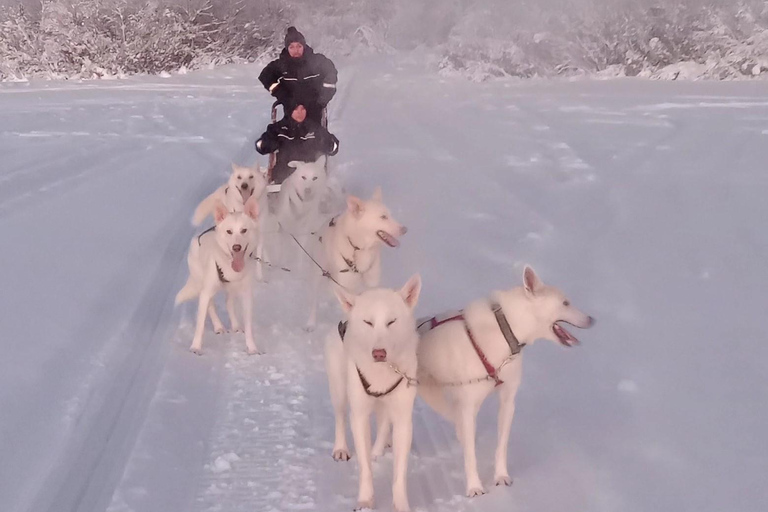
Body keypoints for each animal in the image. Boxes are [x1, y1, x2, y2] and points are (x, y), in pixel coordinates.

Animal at [175, 196, 260, 356]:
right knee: (211, 306)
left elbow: (249, 326)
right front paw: (196, 347)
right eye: (229, 231)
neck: (229, 265)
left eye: (244, 230)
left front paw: (252, 348)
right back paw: (218, 326)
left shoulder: (247, 295)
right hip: (203, 284)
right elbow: (200, 324)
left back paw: (235, 325)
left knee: (228, 302)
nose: (236, 247)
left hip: (231, 289)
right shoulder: (206, 292)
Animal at [322, 276, 424, 512]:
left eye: (391, 322)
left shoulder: (403, 417)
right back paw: (341, 448)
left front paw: (401, 504)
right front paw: (365, 500)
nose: (379, 353)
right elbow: (365, 466)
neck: (381, 374)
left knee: (384, 423)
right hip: (339, 391)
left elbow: (399, 473)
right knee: (340, 417)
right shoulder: (359, 416)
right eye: (368, 322)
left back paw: (380, 447)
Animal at [414, 268, 592, 496]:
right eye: (565, 303)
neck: (504, 330)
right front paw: (474, 487)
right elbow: (470, 454)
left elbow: (502, 445)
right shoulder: (467, 407)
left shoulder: (507, 401)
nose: (592, 319)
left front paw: (501, 476)